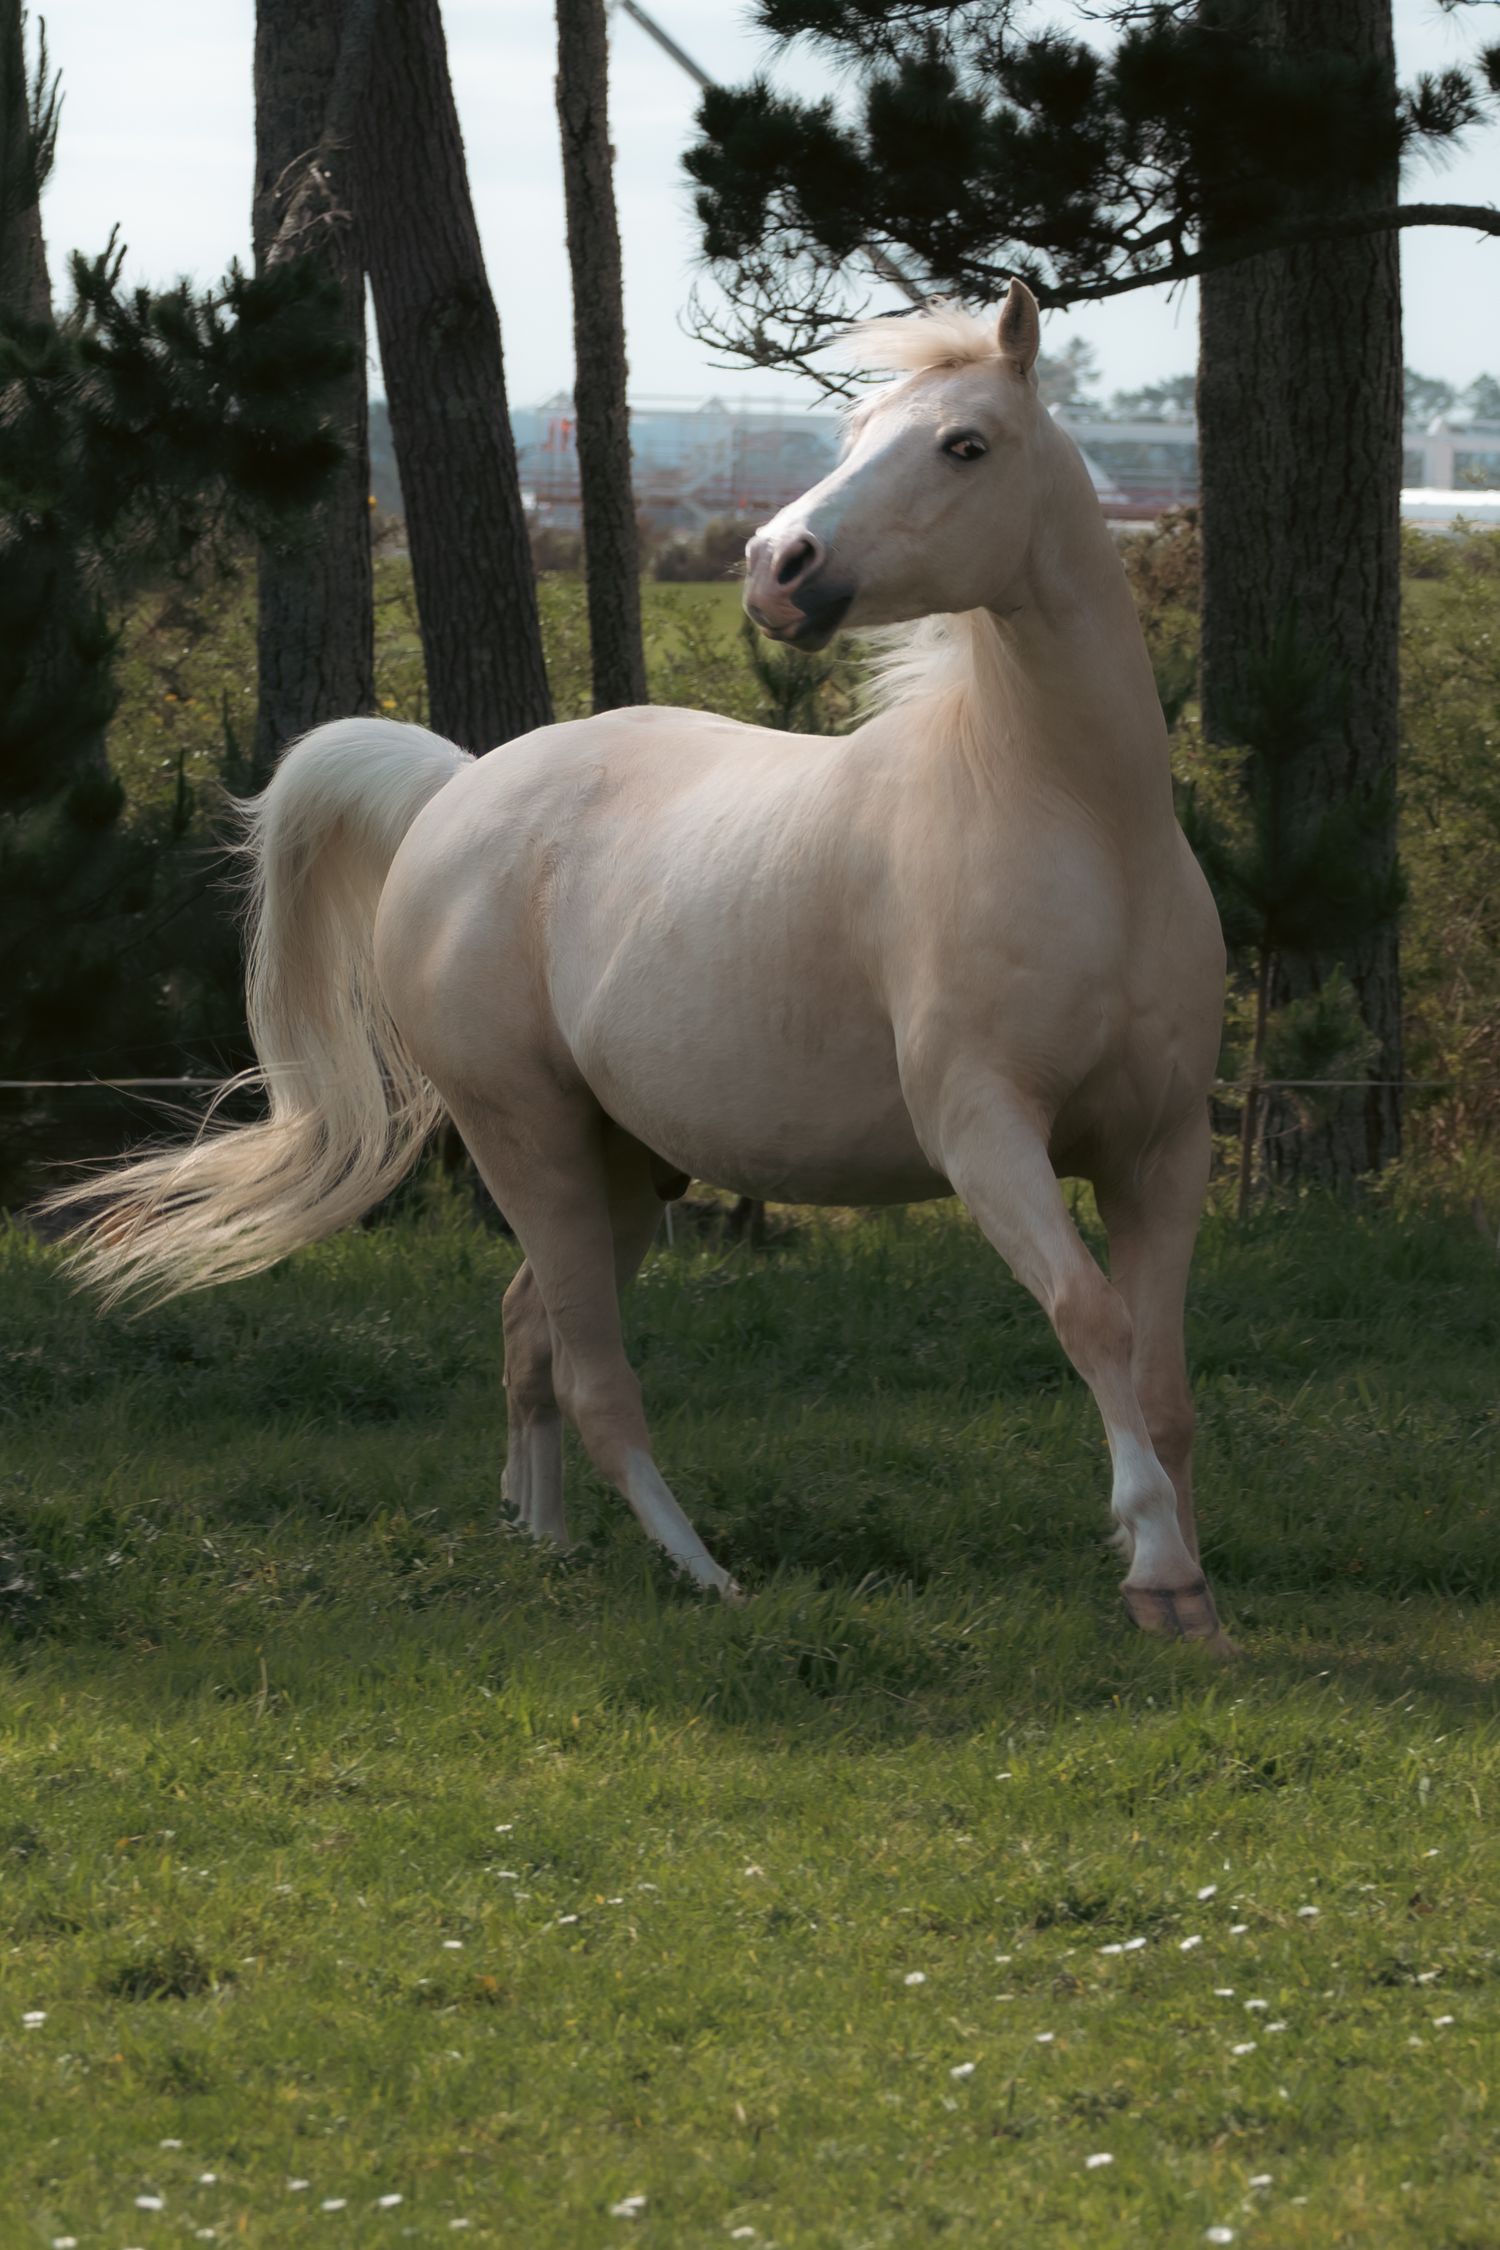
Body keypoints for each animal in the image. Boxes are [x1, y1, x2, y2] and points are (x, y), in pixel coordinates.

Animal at [51, 280, 1230, 1651]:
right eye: (856, 430)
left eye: (964, 444)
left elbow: (1162, 1376)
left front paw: (1195, 1584)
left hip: (621, 1169)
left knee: (530, 1332)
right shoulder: (987, 1134)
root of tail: (458, 789)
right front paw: (1155, 1567)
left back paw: (544, 1543)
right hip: (531, 1143)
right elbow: (1091, 1319)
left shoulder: (1160, 1151)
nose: (778, 567)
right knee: (593, 1375)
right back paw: (702, 1574)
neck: (1075, 823)